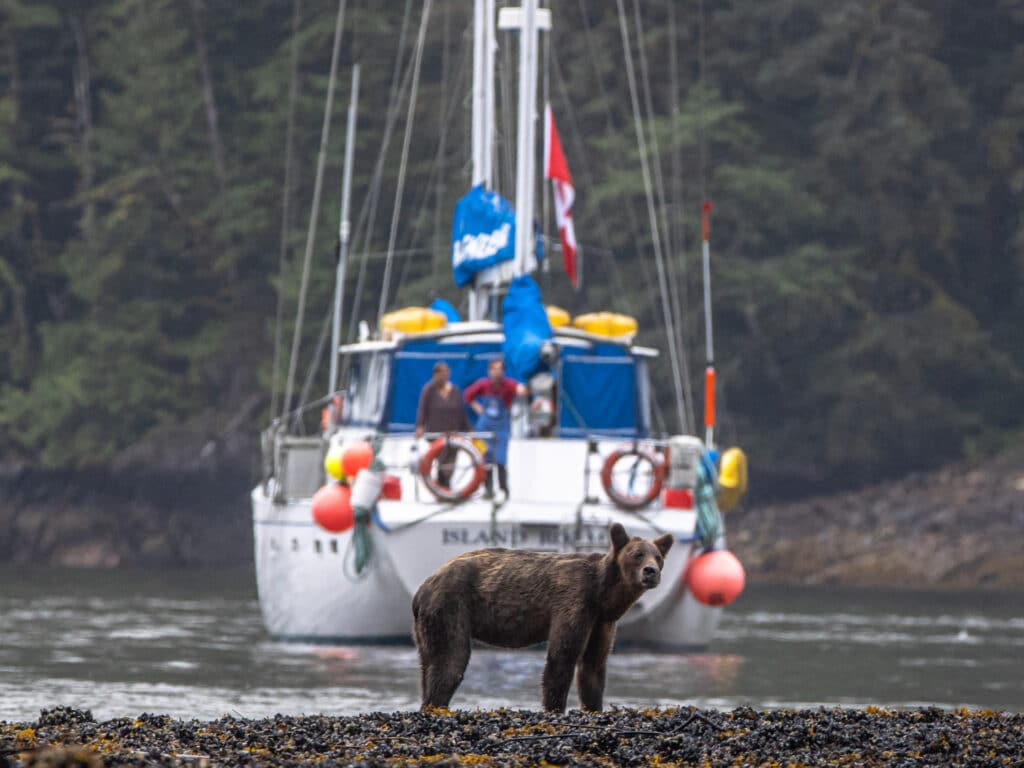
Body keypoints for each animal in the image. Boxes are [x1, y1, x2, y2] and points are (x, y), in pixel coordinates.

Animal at [412, 522, 673, 712]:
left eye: (658, 557)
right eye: (637, 554)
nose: (651, 571)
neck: (603, 594)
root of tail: (422, 588)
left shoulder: (602, 621)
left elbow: (594, 665)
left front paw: (593, 706)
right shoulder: (574, 602)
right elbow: (562, 657)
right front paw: (555, 707)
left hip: (426, 625)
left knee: (429, 663)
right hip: (450, 607)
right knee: (451, 660)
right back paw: (436, 704)